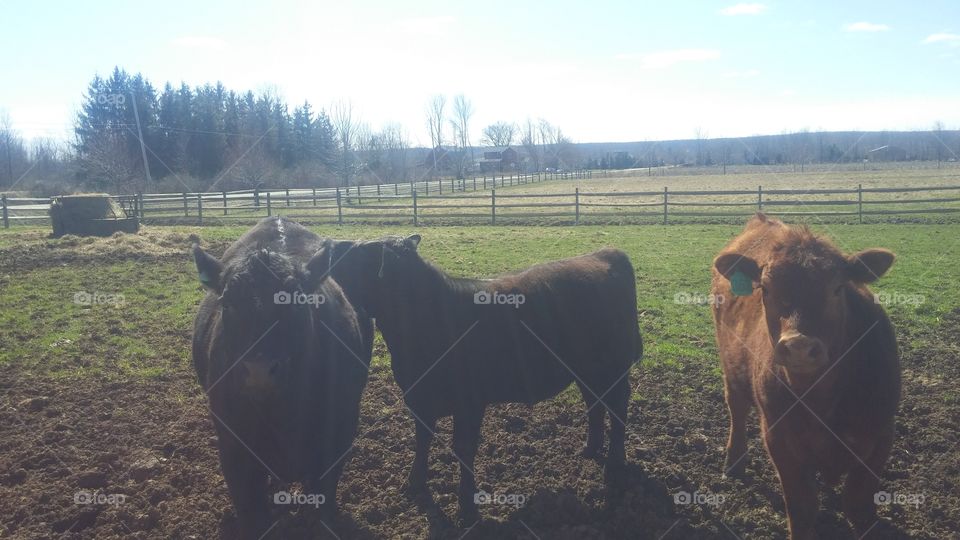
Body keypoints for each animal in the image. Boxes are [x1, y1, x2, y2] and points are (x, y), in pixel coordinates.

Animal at [712, 213, 900, 536]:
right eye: (765, 288)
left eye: (837, 288)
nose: (799, 346)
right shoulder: (778, 436)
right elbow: (803, 508)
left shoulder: (881, 434)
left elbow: (859, 505)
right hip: (730, 366)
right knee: (736, 408)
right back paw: (734, 462)